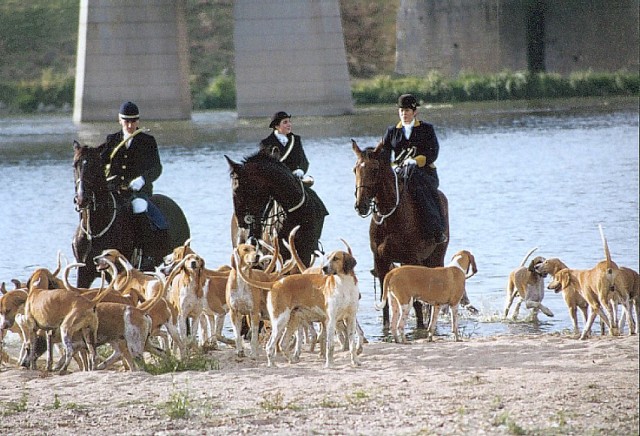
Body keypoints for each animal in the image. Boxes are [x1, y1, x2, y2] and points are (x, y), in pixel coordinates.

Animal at [350, 138, 450, 328]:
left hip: (436, 256)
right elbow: (385, 303)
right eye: (355, 169)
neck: (389, 217)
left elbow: (417, 303)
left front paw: (420, 326)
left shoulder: (412, 259)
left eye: (374, 169)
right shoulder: (381, 262)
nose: (361, 205)